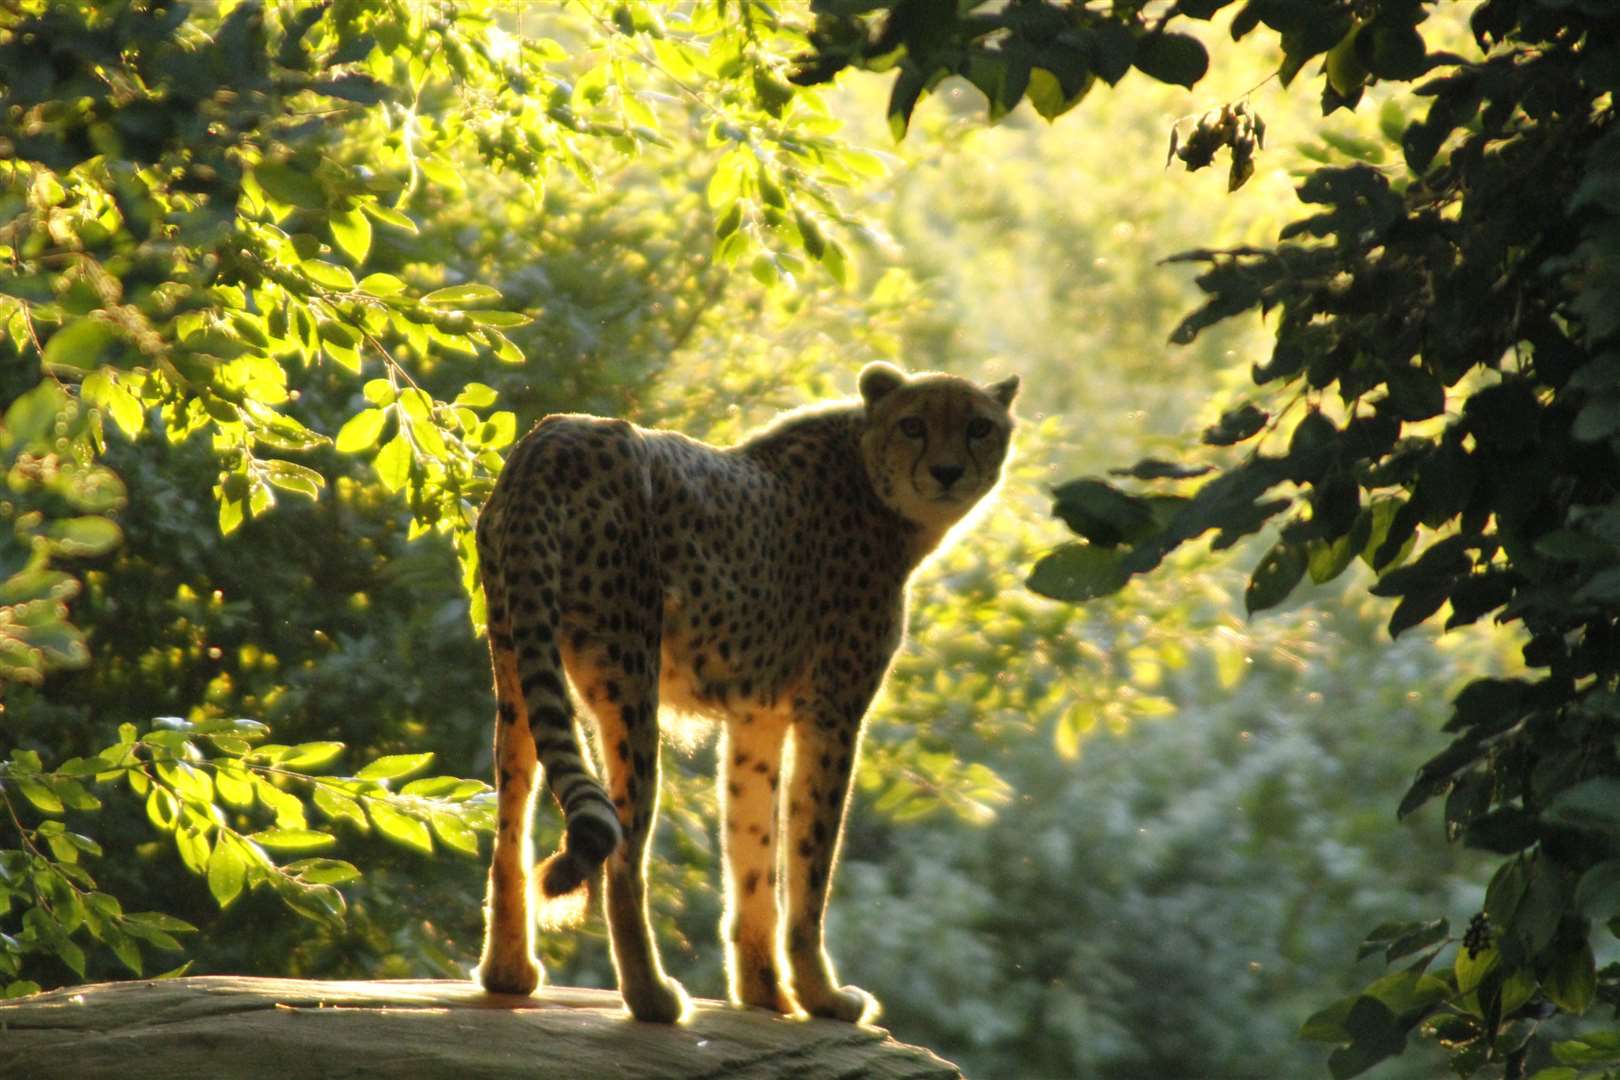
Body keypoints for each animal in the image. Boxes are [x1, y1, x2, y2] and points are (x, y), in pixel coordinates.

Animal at [473, 361, 1017, 1023]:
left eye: (979, 427)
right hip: (629, 680)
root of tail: (555, 436)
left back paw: (508, 973)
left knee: (509, 830)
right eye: (914, 425)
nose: (947, 471)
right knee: (623, 856)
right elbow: (808, 867)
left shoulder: (757, 718)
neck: (869, 476)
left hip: (516, 665)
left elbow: (753, 853)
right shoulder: (831, 715)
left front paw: (764, 993)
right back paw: (652, 997)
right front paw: (820, 995)